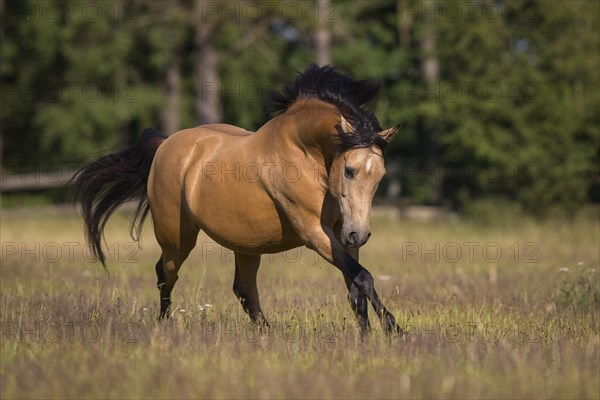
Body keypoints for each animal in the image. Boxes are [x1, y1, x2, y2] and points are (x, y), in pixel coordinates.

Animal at [74, 65, 404, 334]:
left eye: (381, 175)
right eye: (349, 170)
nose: (359, 234)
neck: (305, 153)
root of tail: (165, 144)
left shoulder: (339, 230)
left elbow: (355, 284)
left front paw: (367, 335)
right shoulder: (313, 231)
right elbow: (363, 277)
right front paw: (394, 329)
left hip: (247, 244)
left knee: (244, 289)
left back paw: (267, 333)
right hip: (177, 238)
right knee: (165, 273)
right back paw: (164, 324)